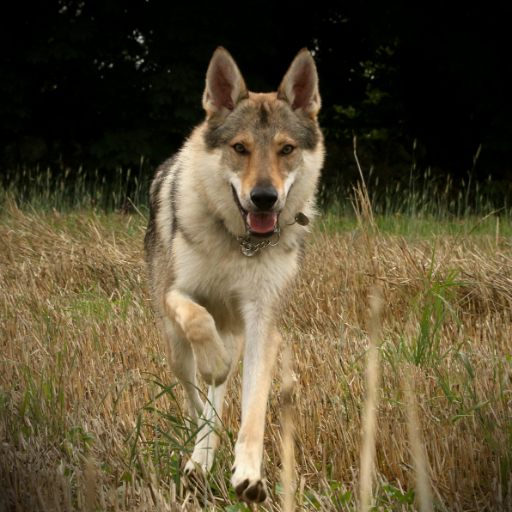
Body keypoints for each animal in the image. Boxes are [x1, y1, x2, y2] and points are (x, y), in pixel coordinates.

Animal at [144, 47, 324, 504]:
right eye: (240, 148)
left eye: (286, 149)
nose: (264, 197)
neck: (241, 244)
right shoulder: (176, 294)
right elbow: (196, 320)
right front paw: (214, 366)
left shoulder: (263, 323)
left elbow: (253, 409)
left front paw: (248, 476)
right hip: (174, 349)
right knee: (195, 398)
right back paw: (197, 453)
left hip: (239, 331)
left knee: (218, 398)